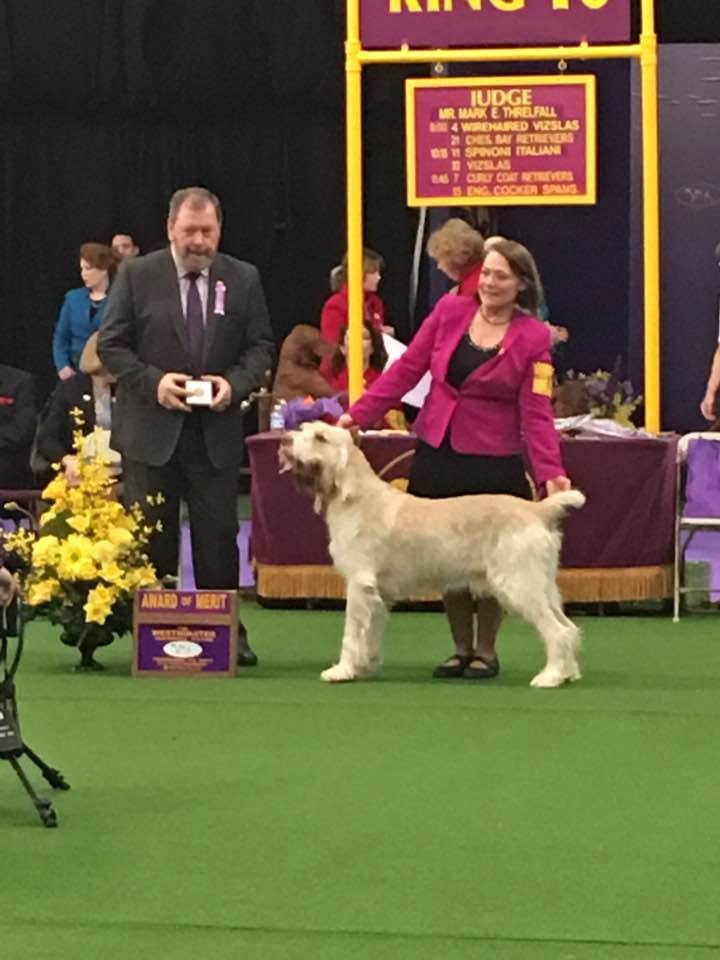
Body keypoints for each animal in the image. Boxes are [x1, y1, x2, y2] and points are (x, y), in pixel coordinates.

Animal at [278, 424, 588, 688]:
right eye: (303, 428)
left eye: (320, 437)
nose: (284, 439)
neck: (355, 496)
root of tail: (537, 510)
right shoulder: (379, 594)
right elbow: (372, 631)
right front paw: (365, 666)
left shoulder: (358, 584)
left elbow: (351, 632)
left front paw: (341, 670)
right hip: (543, 585)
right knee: (569, 627)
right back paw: (568, 673)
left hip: (519, 585)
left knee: (557, 631)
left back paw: (550, 677)